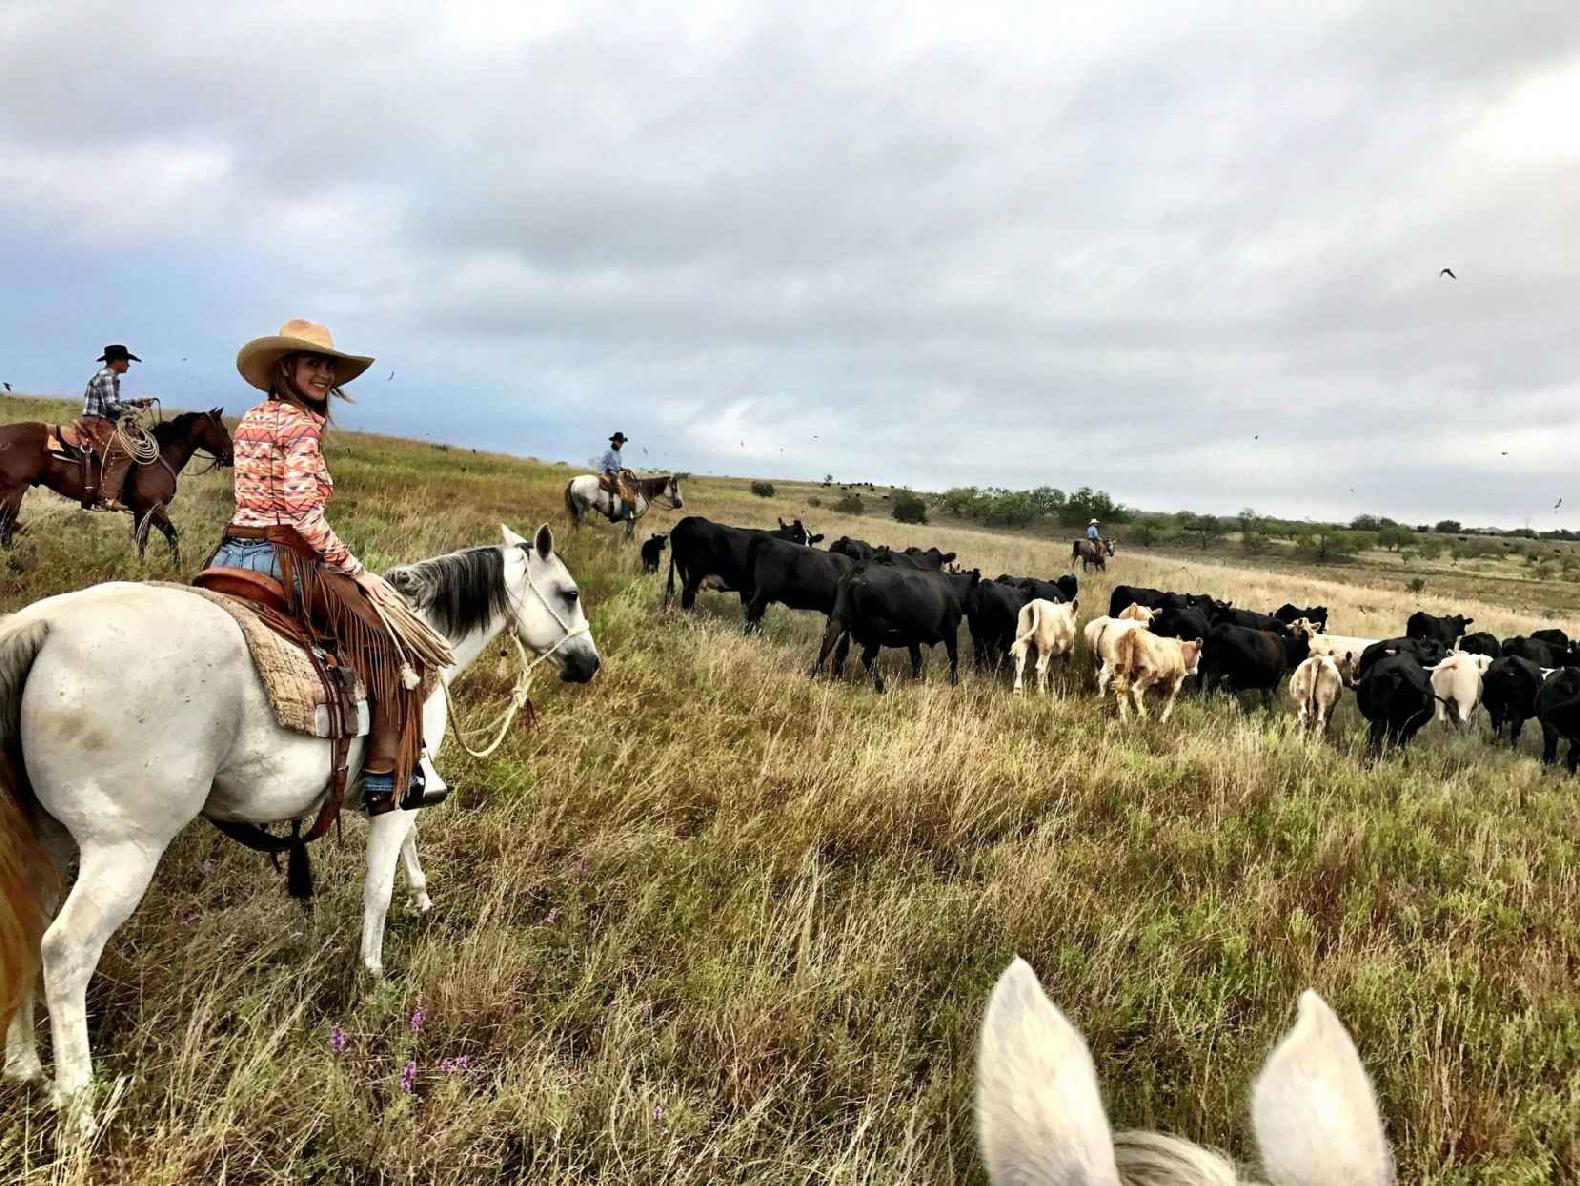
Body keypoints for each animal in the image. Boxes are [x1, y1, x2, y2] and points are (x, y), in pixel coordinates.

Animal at [0, 407, 233, 555]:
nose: (231, 456)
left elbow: (141, 544)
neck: (158, 457)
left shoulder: (141, 512)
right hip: (14, 492)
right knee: (5, 532)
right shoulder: (154, 508)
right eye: (224, 429)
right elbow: (173, 537)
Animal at [0, 521, 597, 1130]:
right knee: (64, 952)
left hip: (45, 841)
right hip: (124, 851)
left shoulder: (406, 791)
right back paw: (79, 1111)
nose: (589, 663)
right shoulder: (396, 797)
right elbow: (378, 887)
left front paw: (422, 898)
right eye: (569, 593)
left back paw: (26, 1069)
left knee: (23, 927)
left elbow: (410, 845)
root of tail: (43, 626)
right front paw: (374, 973)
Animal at [663, 514, 821, 612]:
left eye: (811, 541)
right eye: (797, 536)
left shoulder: (747, 588)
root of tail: (686, 522)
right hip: (695, 573)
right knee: (688, 596)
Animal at [815, 562, 973, 691]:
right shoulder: (950, 629)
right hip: (875, 633)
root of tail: (858, 571)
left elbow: (917, 660)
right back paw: (881, 688)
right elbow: (953, 658)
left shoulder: (913, 639)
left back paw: (815, 677)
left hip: (837, 621)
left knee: (826, 649)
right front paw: (954, 683)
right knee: (867, 658)